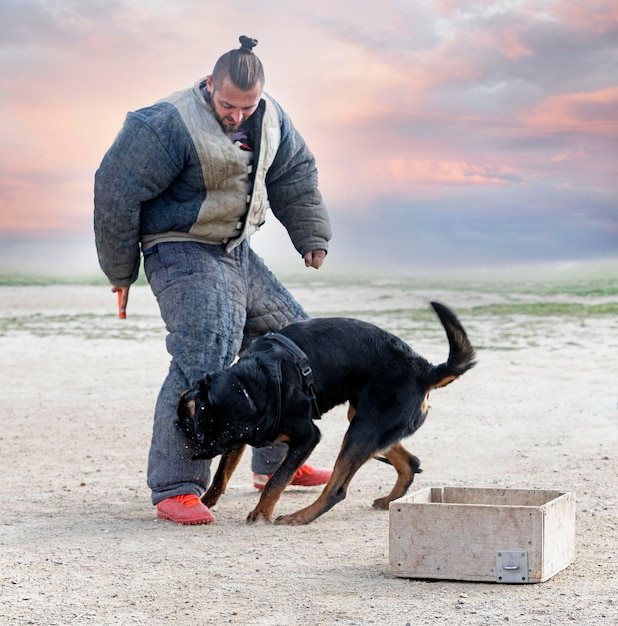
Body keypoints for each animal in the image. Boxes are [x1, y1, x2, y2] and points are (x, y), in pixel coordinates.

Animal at [176, 300, 474, 524]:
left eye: (191, 427)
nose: (176, 420)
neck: (250, 389)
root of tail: (424, 370)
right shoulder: (242, 437)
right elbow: (220, 476)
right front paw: (206, 503)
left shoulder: (308, 437)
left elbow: (277, 480)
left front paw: (261, 514)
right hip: (367, 420)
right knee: (410, 463)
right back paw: (390, 500)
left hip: (362, 430)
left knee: (337, 490)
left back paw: (299, 517)